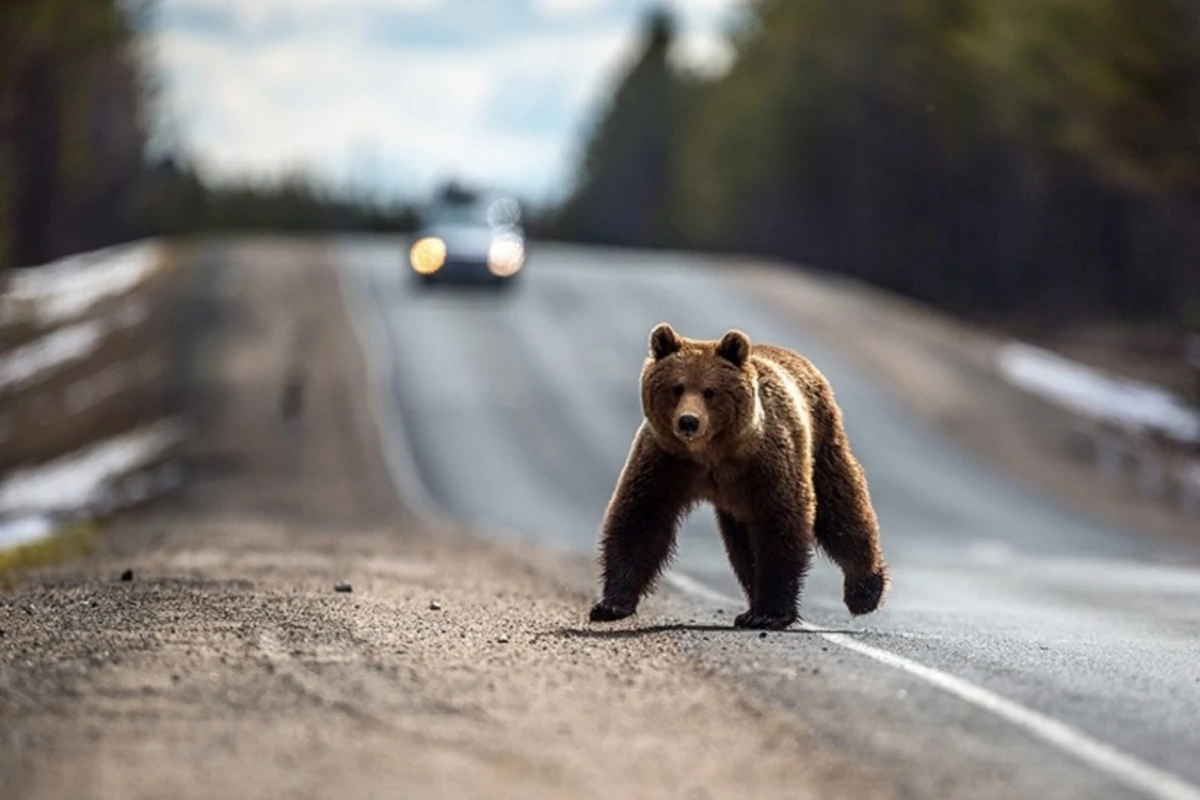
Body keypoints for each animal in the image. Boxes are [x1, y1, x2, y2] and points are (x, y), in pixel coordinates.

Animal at [588, 322, 889, 630]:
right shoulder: (667, 460)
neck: (712, 453)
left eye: (710, 391)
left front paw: (771, 613)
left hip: (821, 441)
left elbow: (782, 524)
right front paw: (610, 604)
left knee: (841, 508)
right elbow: (641, 518)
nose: (688, 421)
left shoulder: (766, 463)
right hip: (738, 503)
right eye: (677, 388)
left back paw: (864, 591)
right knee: (742, 544)